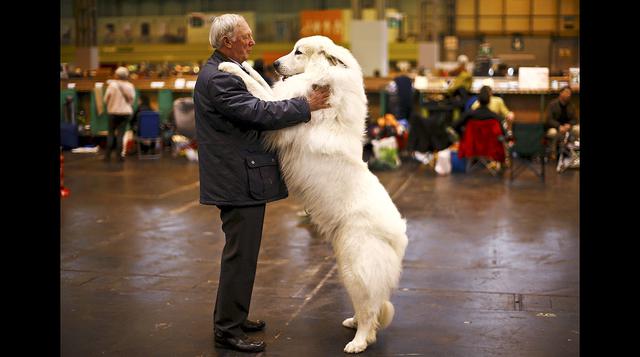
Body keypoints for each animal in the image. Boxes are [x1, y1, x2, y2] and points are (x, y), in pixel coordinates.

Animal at [220, 34, 408, 352]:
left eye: (299, 52)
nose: (274, 63)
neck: (326, 80)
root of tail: (399, 238)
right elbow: (261, 83)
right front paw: (246, 66)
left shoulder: (281, 111)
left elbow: (260, 92)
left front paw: (229, 67)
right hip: (347, 267)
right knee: (367, 306)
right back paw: (354, 324)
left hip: (356, 269)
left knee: (370, 310)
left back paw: (358, 342)